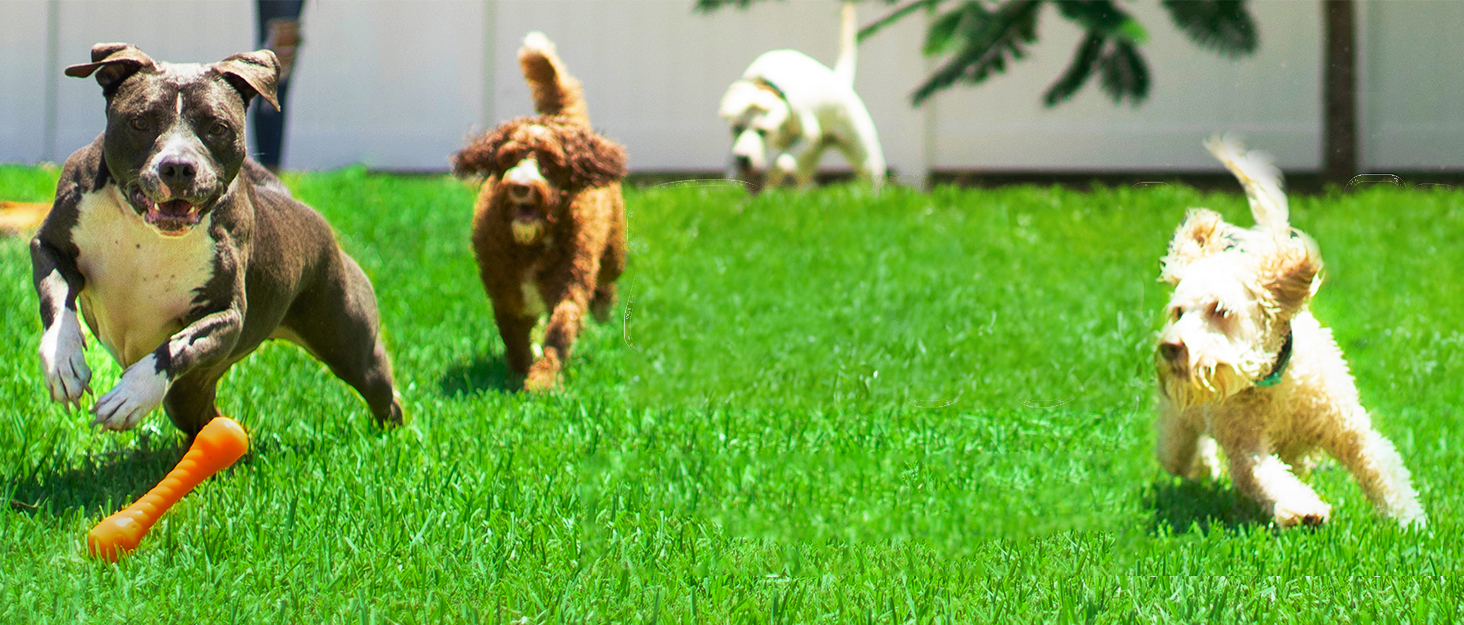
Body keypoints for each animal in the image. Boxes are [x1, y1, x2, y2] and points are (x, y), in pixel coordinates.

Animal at [450, 31, 623, 392]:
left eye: (549, 163)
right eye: (508, 158)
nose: (521, 186)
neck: (531, 244)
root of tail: (566, 121)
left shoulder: (570, 281)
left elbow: (561, 327)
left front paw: (543, 379)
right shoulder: (505, 292)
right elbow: (513, 334)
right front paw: (519, 371)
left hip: (614, 251)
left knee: (606, 282)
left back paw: (602, 305)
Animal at [717, 1, 884, 191]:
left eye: (763, 131)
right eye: (736, 128)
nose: (742, 159)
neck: (769, 83)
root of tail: (840, 81)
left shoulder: (808, 136)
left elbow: (780, 164)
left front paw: (771, 177)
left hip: (867, 162)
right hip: (809, 163)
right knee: (807, 183)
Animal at [1153, 136, 1417, 529]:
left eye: (1220, 310)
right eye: (1179, 312)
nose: (1171, 347)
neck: (1274, 383)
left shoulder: (1347, 427)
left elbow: (1379, 466)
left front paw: (1407, 519)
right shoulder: (1245, 445)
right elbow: (1264, 474)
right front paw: (1303, 508)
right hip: (1179, 425)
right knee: (1180, 453)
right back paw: (1205, 467)